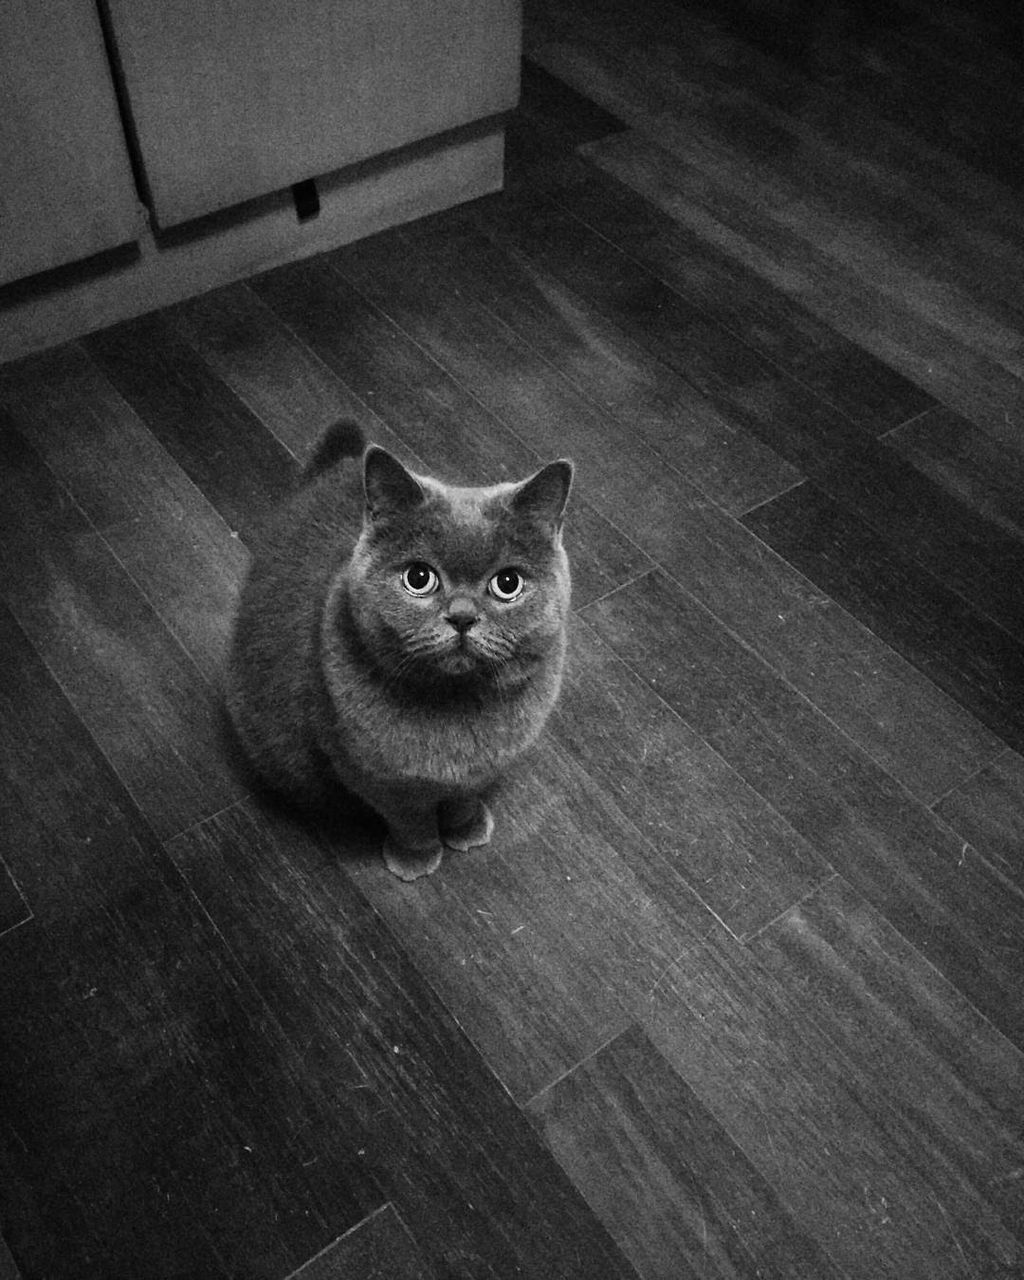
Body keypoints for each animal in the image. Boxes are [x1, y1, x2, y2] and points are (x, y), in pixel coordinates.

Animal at [226, 419, 570, 880]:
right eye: (419, 578)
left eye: (508, 583)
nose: (462, 616)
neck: (454, 708)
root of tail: (333, 470)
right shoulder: (374, 776)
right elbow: (411, 819)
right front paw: (416, 858)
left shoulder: (481, 770)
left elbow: (463, 799)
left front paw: (466, 828)